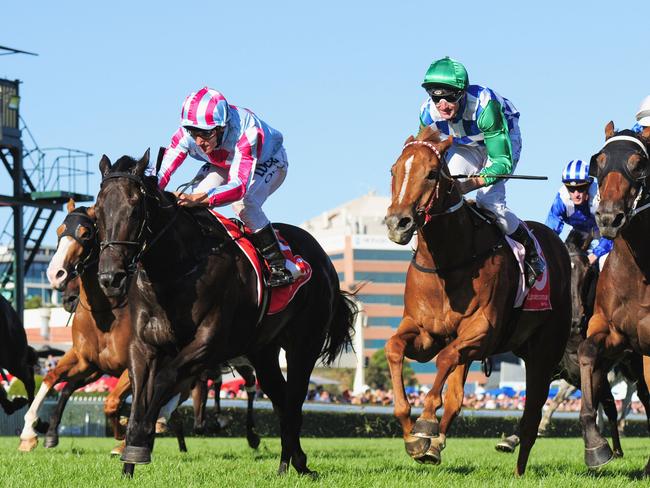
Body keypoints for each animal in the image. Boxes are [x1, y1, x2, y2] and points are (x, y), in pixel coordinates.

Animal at [93, 150, 354, 476]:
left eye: (135, 209)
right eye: (98, 211)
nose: (110, 278)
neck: (175, 270)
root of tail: (323, 259)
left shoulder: (208, 344)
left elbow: (163, 381)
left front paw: (141, 443)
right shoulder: (143, 346)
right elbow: (141, 393)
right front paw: (130, 457)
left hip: (304, 345)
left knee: (294, 400)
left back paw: (293, 463)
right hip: (263, 352)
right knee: (281, 399)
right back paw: (292, 462)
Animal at [382, 127, 568, 476]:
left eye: (431, 173)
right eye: (394, 170)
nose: (397, 223)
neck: (447, 260)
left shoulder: (482, 330)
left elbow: (444, 360)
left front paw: (425, 424)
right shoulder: (425, 333)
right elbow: (394, 347)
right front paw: (414, 437)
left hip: (544, 351)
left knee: (532, 415)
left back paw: (518, 470)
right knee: (457, 396)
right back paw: (436, 445)